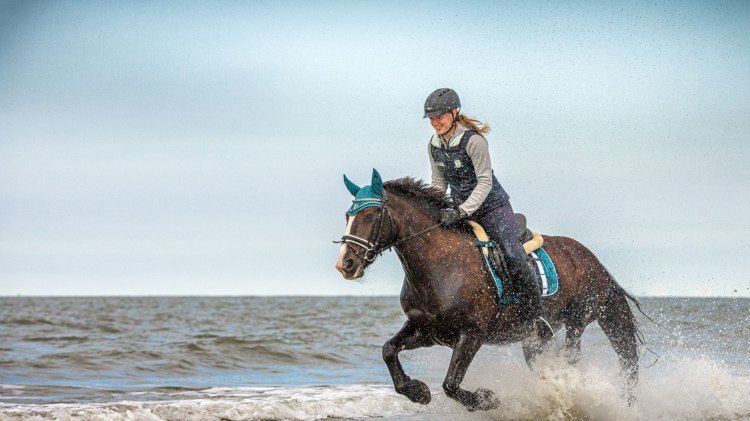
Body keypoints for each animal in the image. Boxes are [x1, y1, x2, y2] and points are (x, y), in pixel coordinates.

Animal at [334, 168, 648, 410]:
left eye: (371, 215)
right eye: (347, 215)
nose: (345, 264)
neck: (441, 264)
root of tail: (593, 260)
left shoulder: (471, 335)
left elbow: (450, 384)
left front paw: (486, 400)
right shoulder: (428, 331)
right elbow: (388, 350)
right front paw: (418, 392)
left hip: (578, 318)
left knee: (572, 355)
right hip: (534, 339)